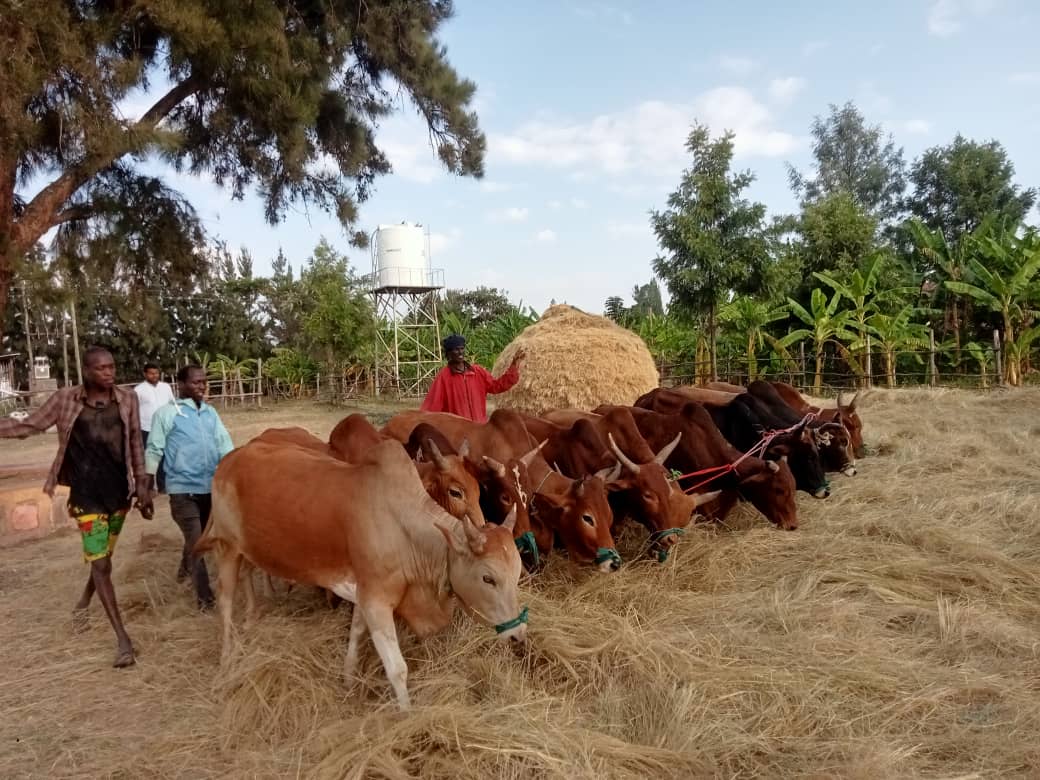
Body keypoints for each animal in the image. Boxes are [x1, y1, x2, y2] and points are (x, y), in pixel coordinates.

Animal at [196, 443, 528, 711]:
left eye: (516, 573)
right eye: (488, 578)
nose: (518, 635)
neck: (403, 529)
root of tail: (228, 460)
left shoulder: (363, 592)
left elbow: (355, 633)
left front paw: (347, 679)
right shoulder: (376, 602)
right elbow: (397, 669)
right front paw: (407, 716)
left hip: (244, 552)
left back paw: (252, 619)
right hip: (226, 549)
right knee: (225, 602)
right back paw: (227, 658)